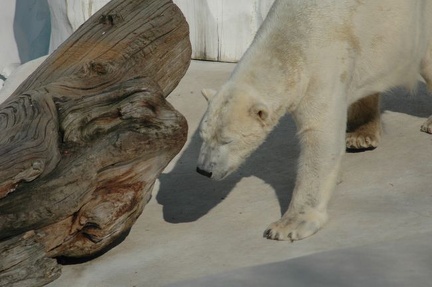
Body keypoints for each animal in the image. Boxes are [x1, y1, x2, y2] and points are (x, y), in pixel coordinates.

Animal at [197, 0, 432, 243]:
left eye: (227, 140)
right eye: (203, 137)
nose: (203, 170)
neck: (290, 41)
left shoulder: (322, 67)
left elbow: (320, 137)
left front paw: (286, 226)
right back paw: (360, 135)